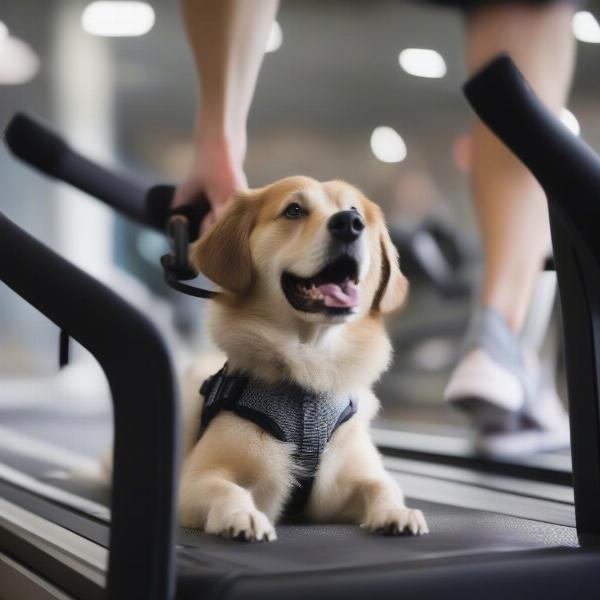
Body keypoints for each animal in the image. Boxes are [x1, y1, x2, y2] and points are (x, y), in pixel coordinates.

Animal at [176, 176, 428, 540]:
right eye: (294, 210)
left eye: (354, 210)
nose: (349, 223)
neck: (310, 363)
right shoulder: (193, 481)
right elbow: (228, 488)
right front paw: (242, 515)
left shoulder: (341, 487)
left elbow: (382, 485)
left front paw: (397, 512)